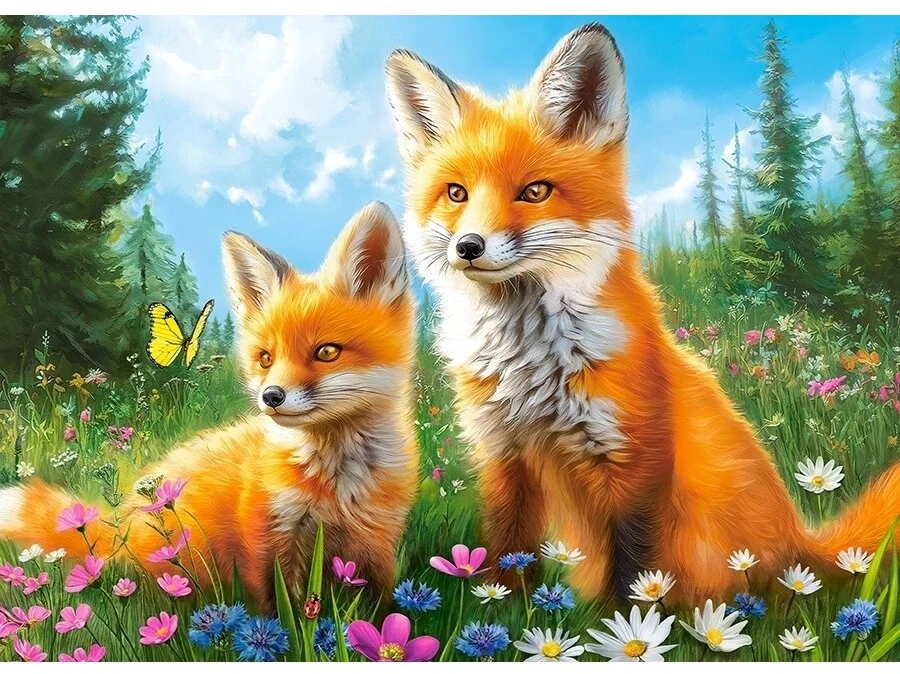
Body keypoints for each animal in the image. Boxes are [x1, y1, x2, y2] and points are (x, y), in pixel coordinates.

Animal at [0, 201, 417, 609]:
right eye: (266, 358)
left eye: (327, 352)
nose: (271, 397)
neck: (338, 485)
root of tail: (124, 520)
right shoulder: (267, 535)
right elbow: (276, 611)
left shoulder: (378, 540)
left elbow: (381, 607)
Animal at [384, 23, 900, 604]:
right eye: (456, 193)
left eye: (534, 191)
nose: (468, 246)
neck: (530, 369)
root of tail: (801, 542)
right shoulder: (503, 455)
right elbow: (508, 553)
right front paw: (503, 606)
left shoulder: (635, 459)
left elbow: (632, 571)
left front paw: (622, 623)